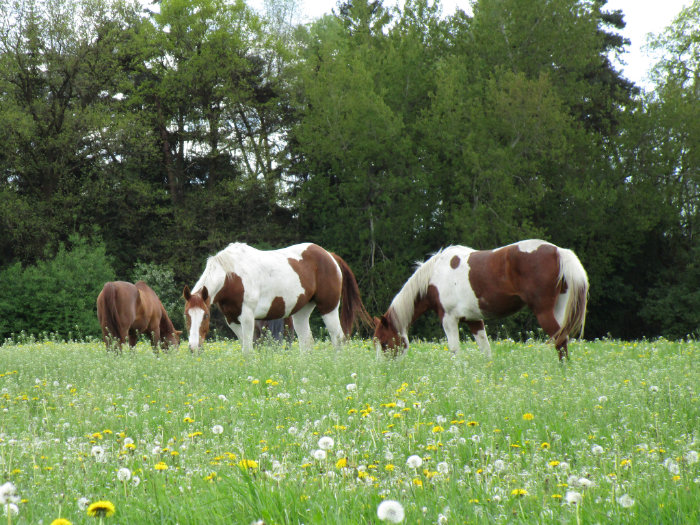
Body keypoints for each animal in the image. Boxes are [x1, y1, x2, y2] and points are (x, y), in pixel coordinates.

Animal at [183, 242, 372, 352]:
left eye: (205, 315)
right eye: (187, 315)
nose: (193, 347)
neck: (232, 275)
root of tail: (329, 255)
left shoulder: (248, 318)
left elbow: (248, 350)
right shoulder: (233, 320)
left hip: (329, 308)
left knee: (338, 339)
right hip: (301, 313)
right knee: (307, 342)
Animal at [373, 240, 588, 361]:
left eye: (383, 343)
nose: (384, 372)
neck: (434, 276)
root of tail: (559, 251)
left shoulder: (448, 319)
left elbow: (455, 350)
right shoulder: (474, 320)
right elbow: (485, 350)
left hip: (543, 311)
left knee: (560, 340)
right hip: (559, 309)